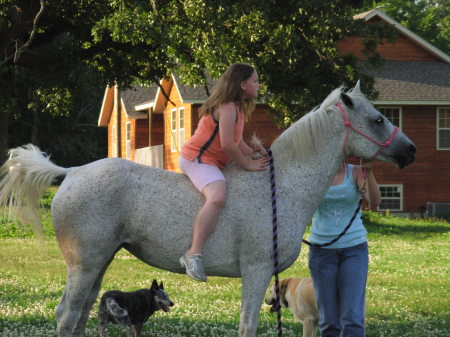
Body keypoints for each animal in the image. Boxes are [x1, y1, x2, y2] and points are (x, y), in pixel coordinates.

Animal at [0, 82, 414, 336]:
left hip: (98, 265)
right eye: (378, 119)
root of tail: (70, 173)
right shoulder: (257, 271)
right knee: (67, 316)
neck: (280, 186)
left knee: (80, 315)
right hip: (84, 266)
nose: (409, 151)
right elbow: (248, 325)